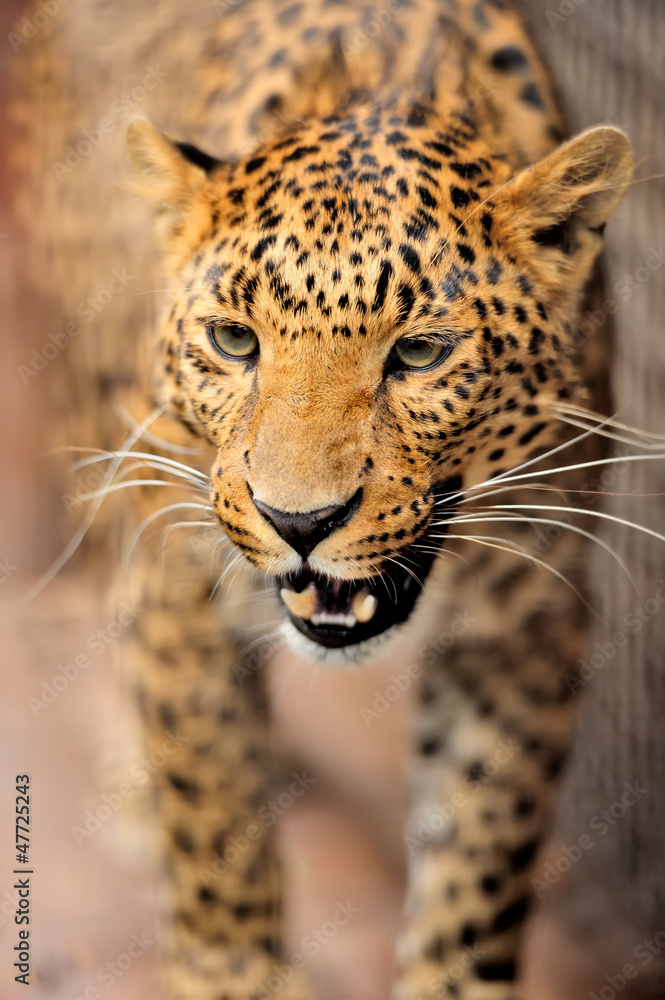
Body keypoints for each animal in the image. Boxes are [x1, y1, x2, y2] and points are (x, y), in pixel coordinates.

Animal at [15, 0, 635, 997]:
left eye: (419, 354)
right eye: (234, 341)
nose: (298, 522)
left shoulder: (530, 612)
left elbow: (481, 851)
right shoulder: (179, 574)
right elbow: (214, 805)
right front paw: (234, 977)